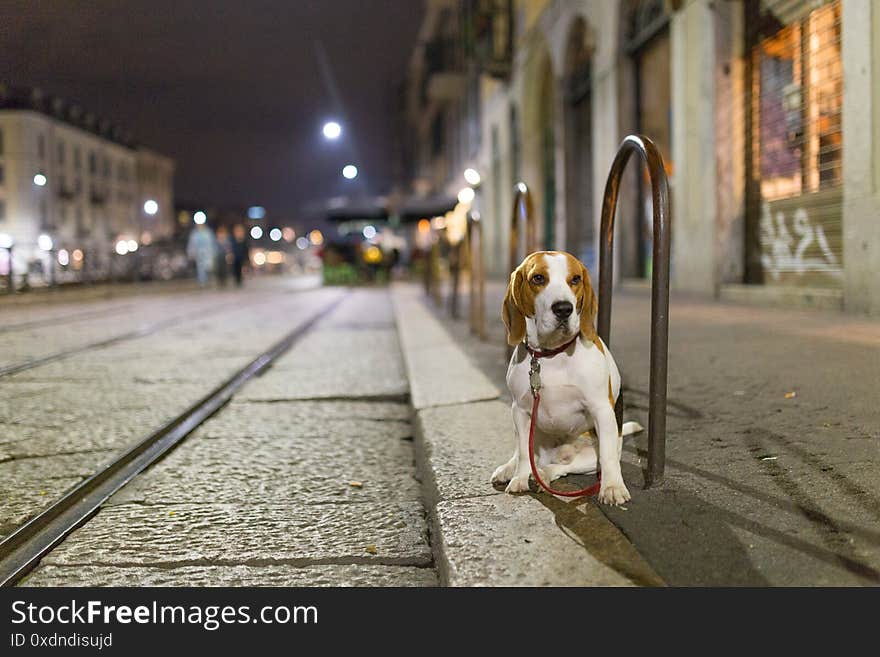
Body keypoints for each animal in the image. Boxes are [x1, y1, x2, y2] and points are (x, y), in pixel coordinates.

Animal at [488, 250, 640, 502]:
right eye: (538, 278)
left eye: (575, 279)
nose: (563, 309)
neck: (551, 355)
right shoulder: (519, 410)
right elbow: (523, 455)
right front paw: (519, 478)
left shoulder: (601, 409)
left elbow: (608, 458)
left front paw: (612, 487)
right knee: (524, 454)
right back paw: (511, 470)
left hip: (589, 457)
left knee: (563, 467)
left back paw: (544, 475)